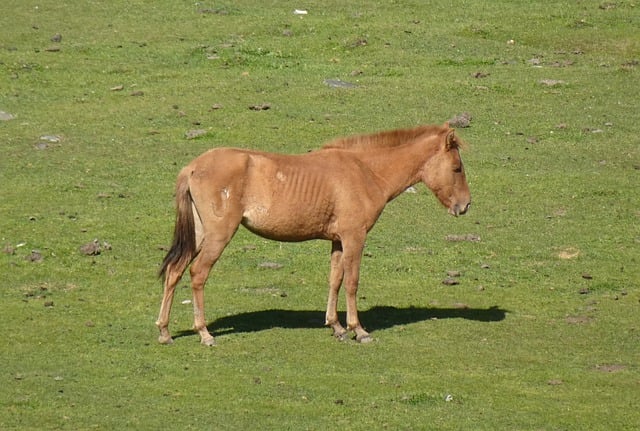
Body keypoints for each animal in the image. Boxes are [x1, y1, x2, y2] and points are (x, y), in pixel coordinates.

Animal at [158, 123, 470, 346]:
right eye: (457, 168)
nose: (465, 205)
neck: (366, 171)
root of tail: (193, 168)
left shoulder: (337, 241)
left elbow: (335, 280)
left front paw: (337, 326)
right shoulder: (354, 237)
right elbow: (352, 282)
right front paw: (359, 330)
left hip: (198, 235)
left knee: (174, 270)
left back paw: (164, 332)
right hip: (218, 235)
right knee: (197, 274)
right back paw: (204, 333)